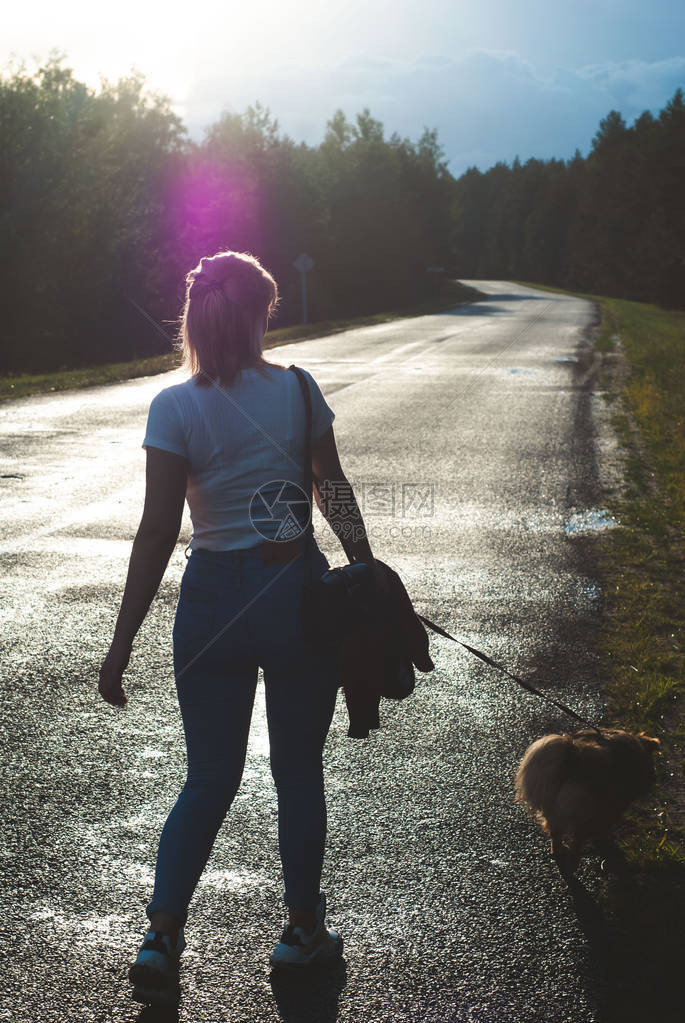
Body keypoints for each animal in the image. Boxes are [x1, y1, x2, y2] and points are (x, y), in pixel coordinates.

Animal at [515, 728, 658, 871]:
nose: (652, 780)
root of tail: (572, 757)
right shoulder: (612, 807)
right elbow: (605, 827)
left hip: (553, 810)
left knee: (556, 835)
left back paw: (558, 852)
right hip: (584, 814)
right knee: (577, 842)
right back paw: (573, 864)